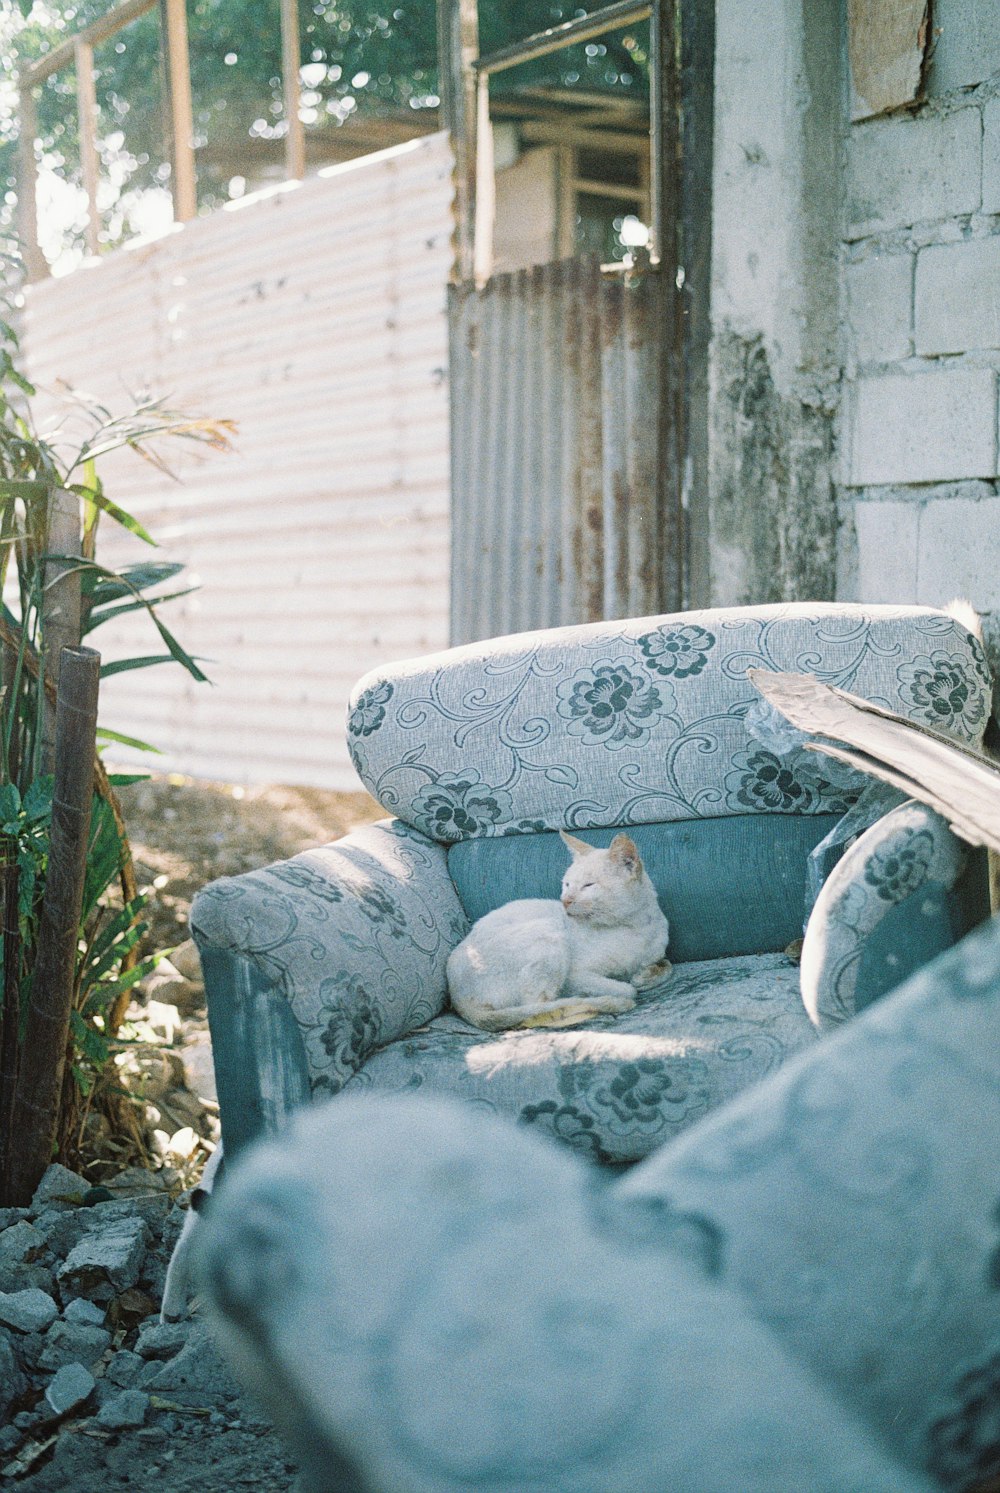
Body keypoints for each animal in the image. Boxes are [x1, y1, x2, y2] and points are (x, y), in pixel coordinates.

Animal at [447, 830, 674, 1027]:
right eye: (567, 884)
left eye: (588, 885)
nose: (564, 901)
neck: (636, 927)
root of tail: (455, 997)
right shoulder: (575, 975)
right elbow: (627, 989)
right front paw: (630, 983)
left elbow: (666, 964)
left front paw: (645, 975)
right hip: (549, 928)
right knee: (539, 1009)